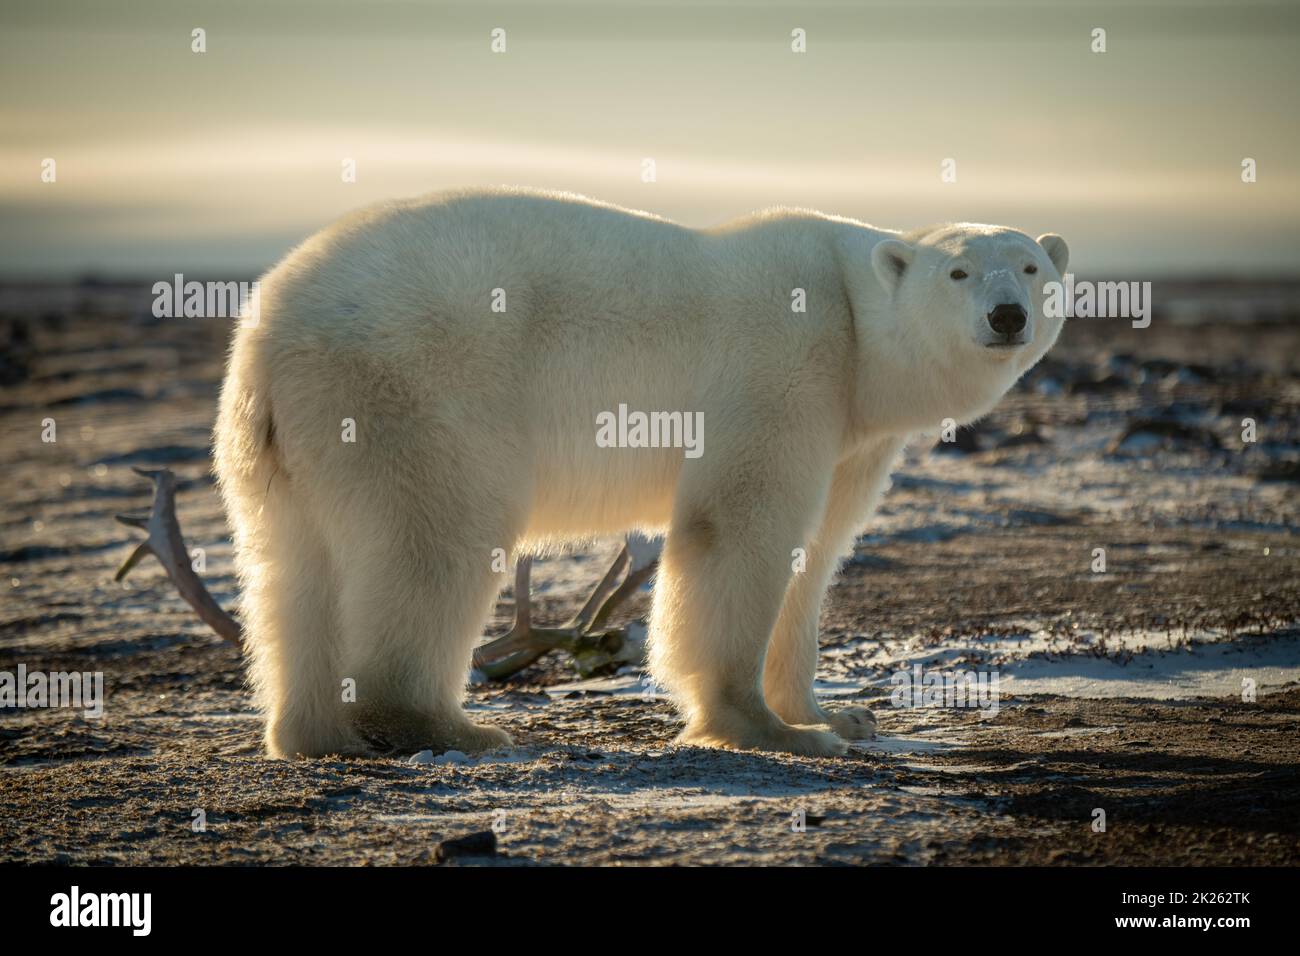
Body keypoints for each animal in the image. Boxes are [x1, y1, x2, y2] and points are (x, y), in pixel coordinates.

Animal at [213, 188, 1068, 759]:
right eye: (958, 273)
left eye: (1030, 266)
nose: (1007, 316)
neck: (855, 321)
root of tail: (265, 335)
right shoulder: (786, 361)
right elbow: (740, 524)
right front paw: (767, 728)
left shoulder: (853, 431)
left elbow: (816, 550)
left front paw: (837, 716)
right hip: (411, 385)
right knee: (435, 539)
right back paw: (453, 727)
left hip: (294, 441)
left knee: (292, 571)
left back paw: (315, 733)